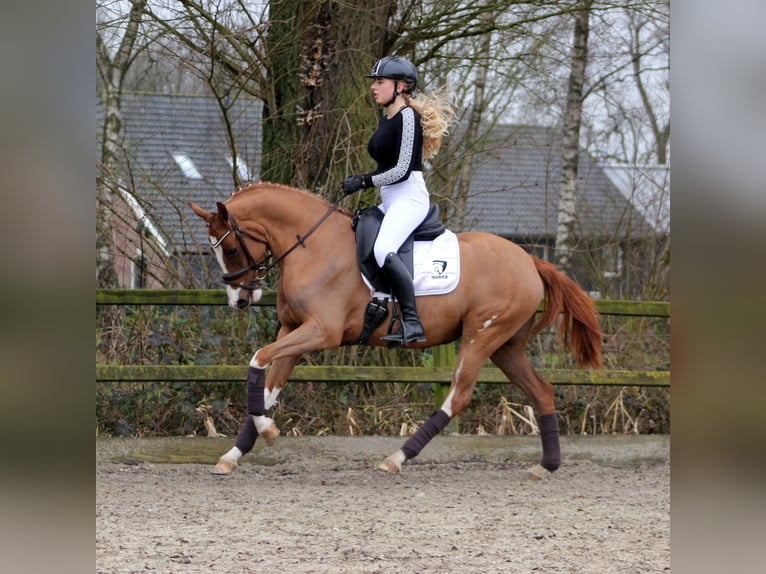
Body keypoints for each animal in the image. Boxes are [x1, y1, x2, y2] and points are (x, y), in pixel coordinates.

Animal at [189, 182, 604, 480]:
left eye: (231, 250)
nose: (239, 300)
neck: (313, 246)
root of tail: (529, 259)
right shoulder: (293, 332)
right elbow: (267, 388)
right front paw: (233, 454)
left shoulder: (321, 332)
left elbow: (256, 359)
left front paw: (269, 432)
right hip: (506, 347)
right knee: (542, 391)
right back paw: (546, 466)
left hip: (481, 337)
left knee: (458, 397)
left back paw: (396, 458)